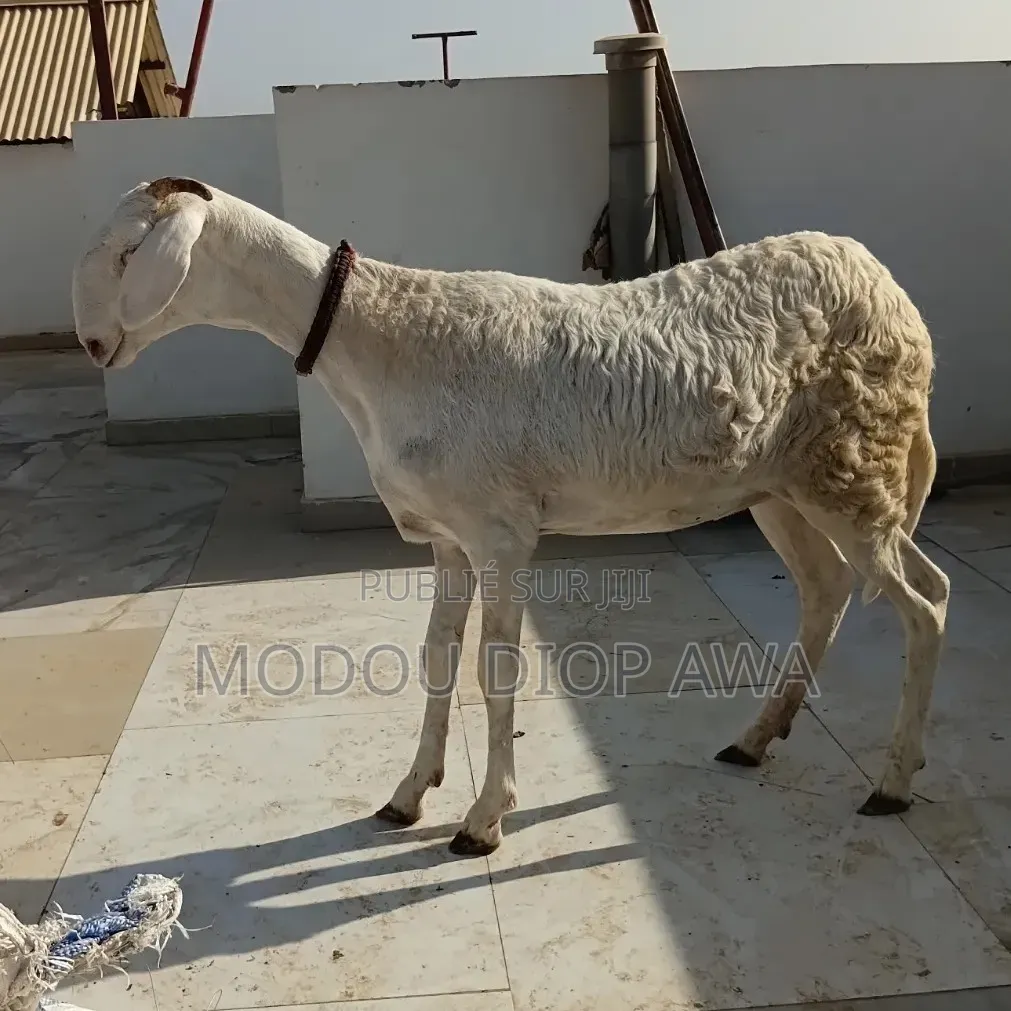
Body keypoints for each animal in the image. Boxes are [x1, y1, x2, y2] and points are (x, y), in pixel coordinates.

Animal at [72, 176, 950, 857]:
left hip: (854, 460)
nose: (90, 343)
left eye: (126, 254)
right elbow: (435, 655)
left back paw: (892, 781)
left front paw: (483, 819)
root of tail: (888, 289)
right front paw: (407, 793)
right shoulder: (446, 535)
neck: (381, 337)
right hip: (784, 483)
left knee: (924, 600)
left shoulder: (500, 528)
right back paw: (755, 738)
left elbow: (494, 667)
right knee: (826, 587)